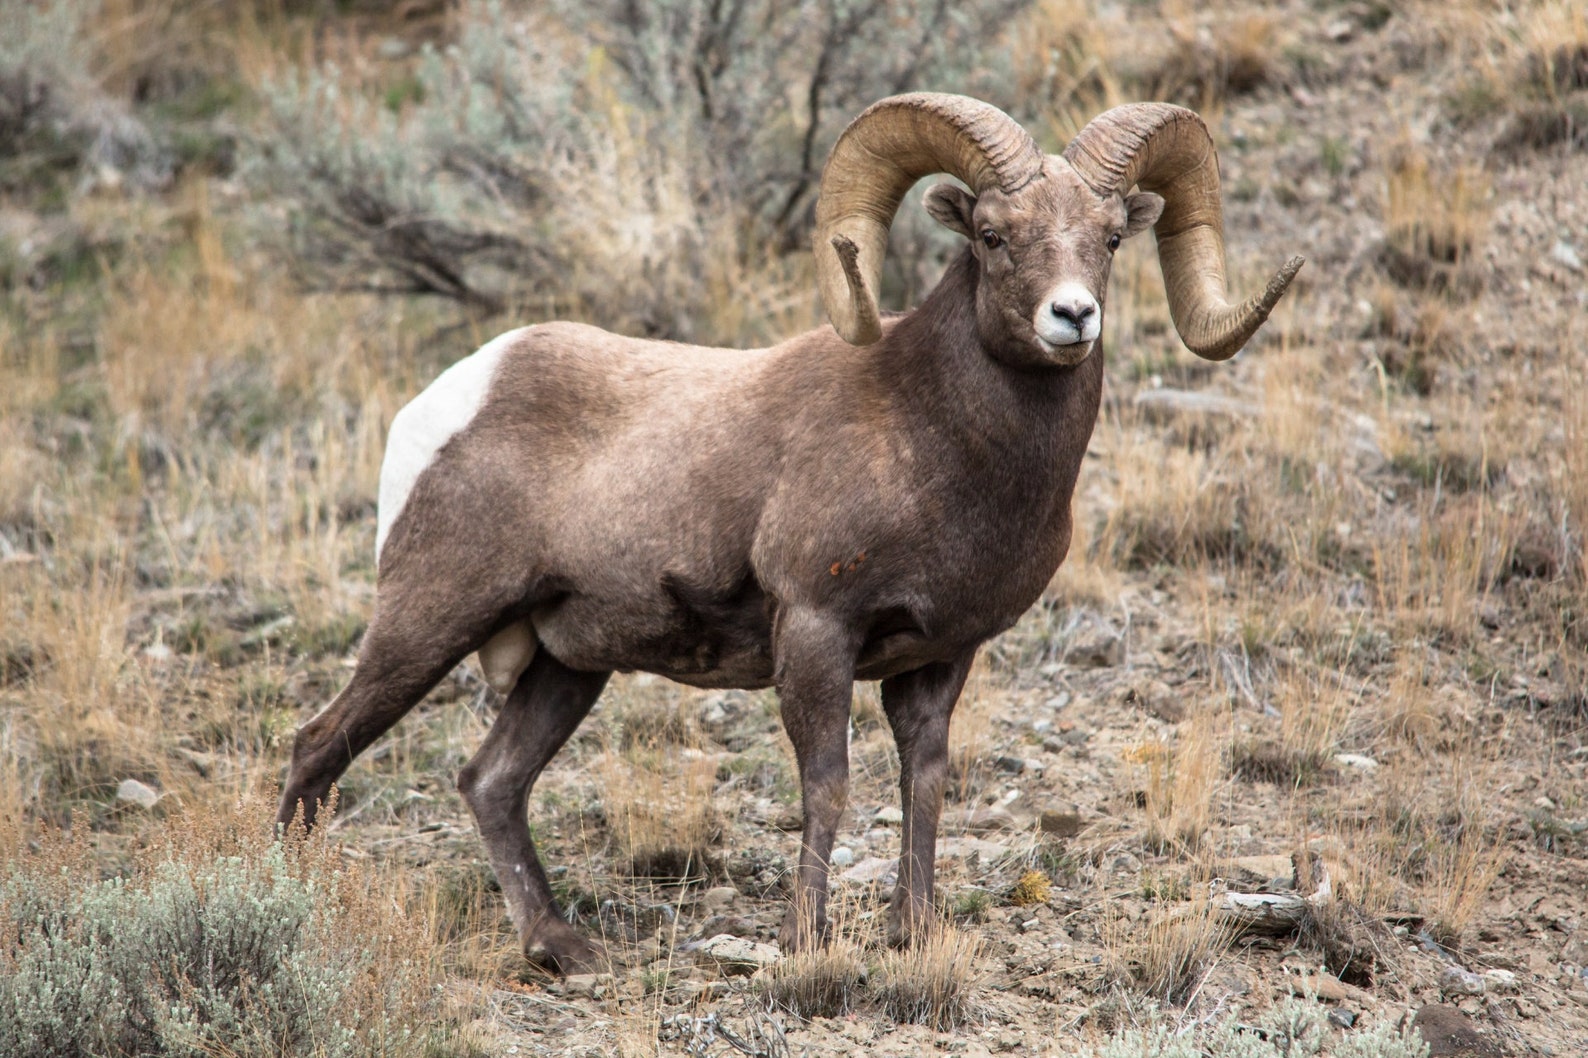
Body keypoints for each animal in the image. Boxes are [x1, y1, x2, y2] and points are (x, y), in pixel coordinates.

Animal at [277, 93, 1303, 974]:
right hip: (427, 623)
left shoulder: (940, 660)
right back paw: (295, 903)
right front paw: (807, 941)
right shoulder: (815, 632)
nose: (1073, 317)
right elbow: (829, 785)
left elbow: (924, 785)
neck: (931, 437)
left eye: (1111, 238)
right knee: (319, 747)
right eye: (992, 235)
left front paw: (914, 932)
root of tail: (448, 398)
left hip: (565, 668)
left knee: (490, 782)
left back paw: (562, 949)